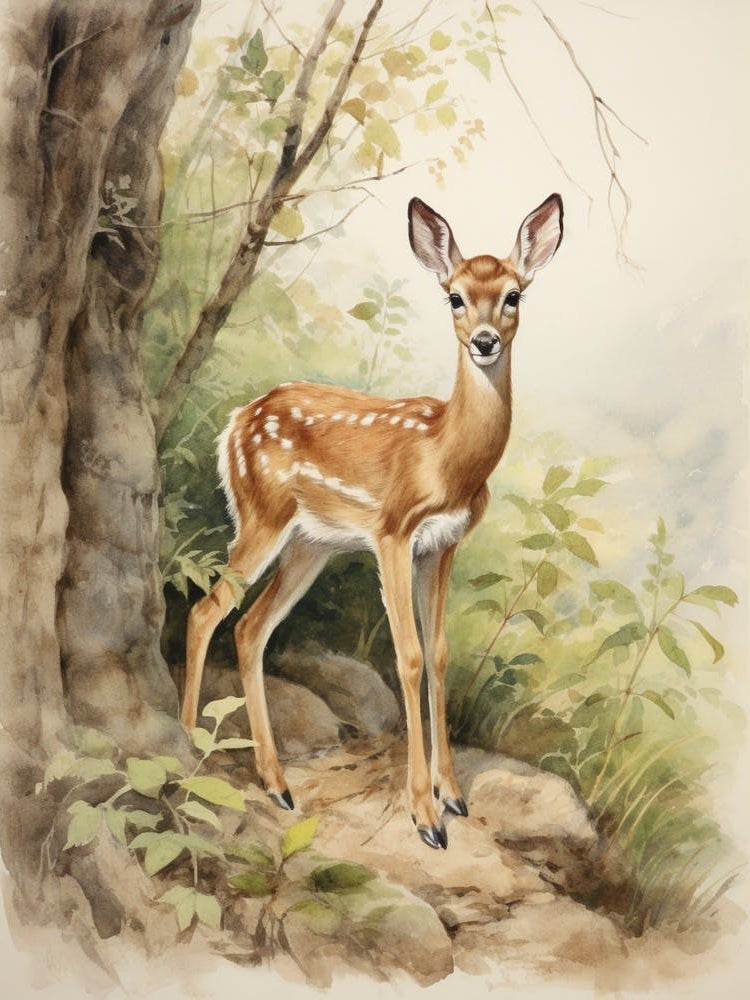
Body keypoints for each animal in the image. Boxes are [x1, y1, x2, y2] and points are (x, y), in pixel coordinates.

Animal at [181, 193, 563, 849]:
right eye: (455, 297)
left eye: (514, 294)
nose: (485, 341)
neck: (446, 459)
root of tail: (233, 424)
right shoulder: (393, 531)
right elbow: (407, 657)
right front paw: (425, 816)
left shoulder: (444, 544)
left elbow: (439, 654)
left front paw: (453, 795)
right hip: (262, 514)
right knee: (207, 610)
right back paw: (184, 744)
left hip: (310, 544)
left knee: (250, 626)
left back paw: (277, 783)